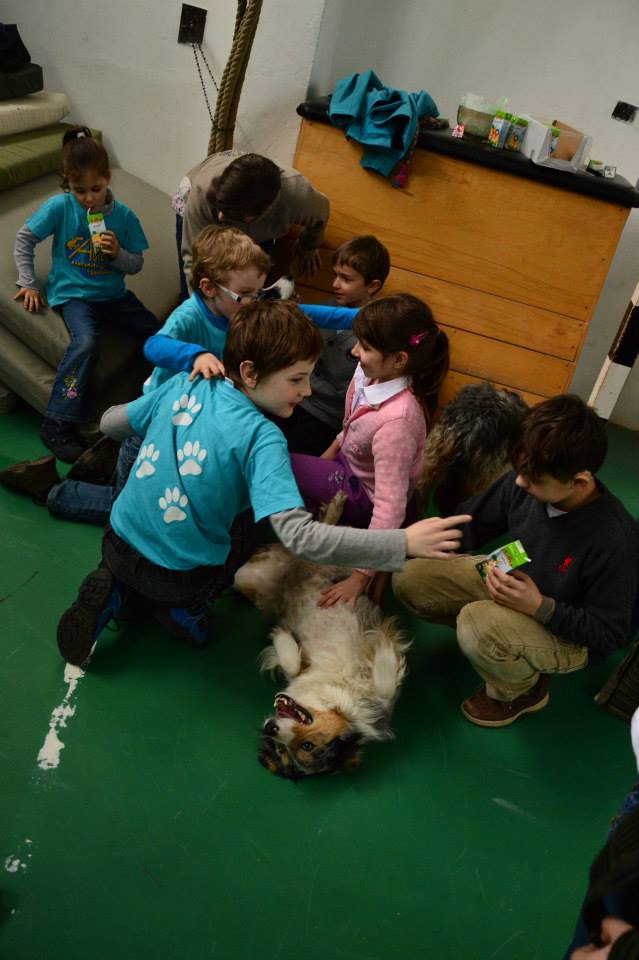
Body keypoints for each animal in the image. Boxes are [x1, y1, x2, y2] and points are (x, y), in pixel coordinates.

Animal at [235, 498, 410, 776]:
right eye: (281, 750)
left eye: (306, 746)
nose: (270, 728)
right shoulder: (305, 667)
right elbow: (292, 663)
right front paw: (283, 636)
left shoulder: (380, 698)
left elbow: (386, 684)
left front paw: (382, 645)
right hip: (248, 580)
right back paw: (334, 505)